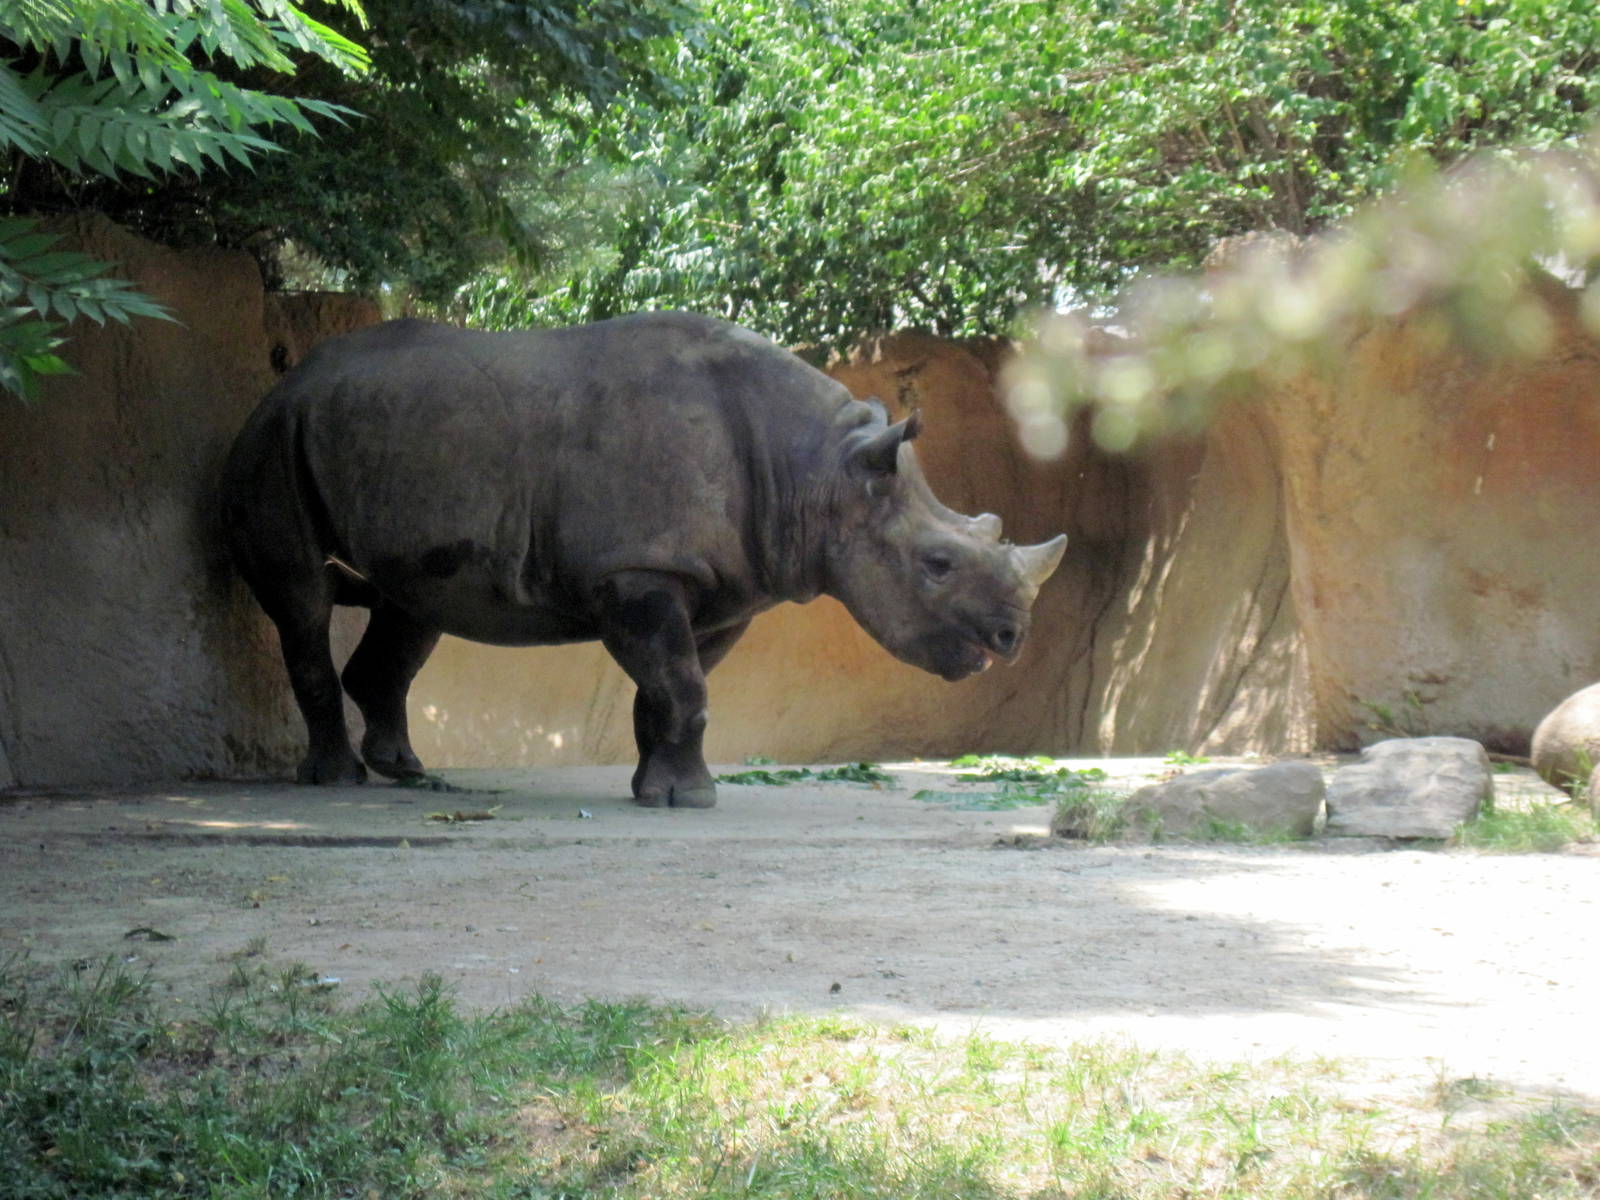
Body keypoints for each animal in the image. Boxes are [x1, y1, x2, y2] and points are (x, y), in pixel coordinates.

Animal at [223, 312, 1067, 807]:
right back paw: (337, 781)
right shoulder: (637, 570)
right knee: (302, 599)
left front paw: (659, 787)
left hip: (379, 438)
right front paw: (691, 800)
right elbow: (682, 684)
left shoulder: (721, 585)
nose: (1012, 639)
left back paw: (406, 770)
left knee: (411, 605)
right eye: (937, 564)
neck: (820, 471)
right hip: (272, 442)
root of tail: (287, 382)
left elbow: (671, 688)